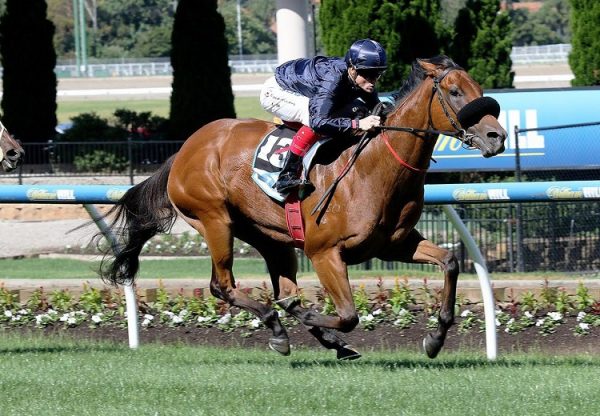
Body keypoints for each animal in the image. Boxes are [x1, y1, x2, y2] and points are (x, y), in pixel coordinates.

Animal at [99, 57, 506, 360]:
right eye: (455, 92)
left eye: (479, 91)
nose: (497, 137)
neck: (372, 168)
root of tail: (185, 149)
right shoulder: (324, 251)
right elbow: (348, 315)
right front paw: (318, 319)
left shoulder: (395, 244)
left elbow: (450, 261)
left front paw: (435, 339)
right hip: (214, 220)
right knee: (224, 285)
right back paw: (282, 328)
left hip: (270, 236)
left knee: (282, 291)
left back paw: (309, 334)